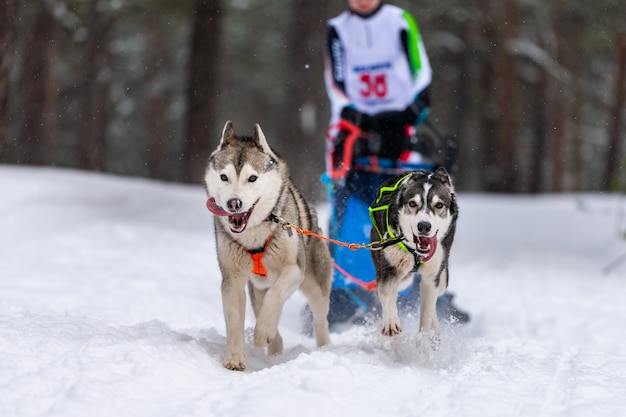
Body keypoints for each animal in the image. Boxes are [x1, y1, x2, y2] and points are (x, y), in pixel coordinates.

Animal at [204, 120, 332, 370]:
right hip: (256, 289)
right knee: (265, 308)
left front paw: (262, 333)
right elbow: (235, 321)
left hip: (314, 285)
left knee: (319, 318)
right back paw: (275, 349)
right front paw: (235, 359)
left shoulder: (294, 269)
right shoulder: (233, 280)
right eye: (224, 177)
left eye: (252, 178)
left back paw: (322, 348)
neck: (255, 235)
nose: (234, 203)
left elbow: (275, 296)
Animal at [368, 167, 456, 340]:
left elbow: (427, 314)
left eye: (439, 205)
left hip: (442, 277)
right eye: (412, 203)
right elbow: (386, 294)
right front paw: (390, 322)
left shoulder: (432, 278)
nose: (424, 226)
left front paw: (424, 341)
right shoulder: (388, 271)